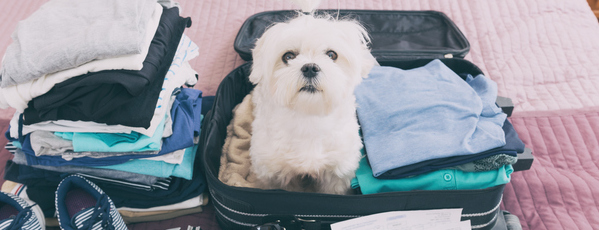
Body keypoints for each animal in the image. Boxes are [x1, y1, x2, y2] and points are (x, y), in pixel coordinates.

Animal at [247, 13, 376, 194]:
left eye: (331, 55)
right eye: (288, 56)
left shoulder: (336, 173)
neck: (309, 116)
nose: (310, 68)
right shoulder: (275, 174)